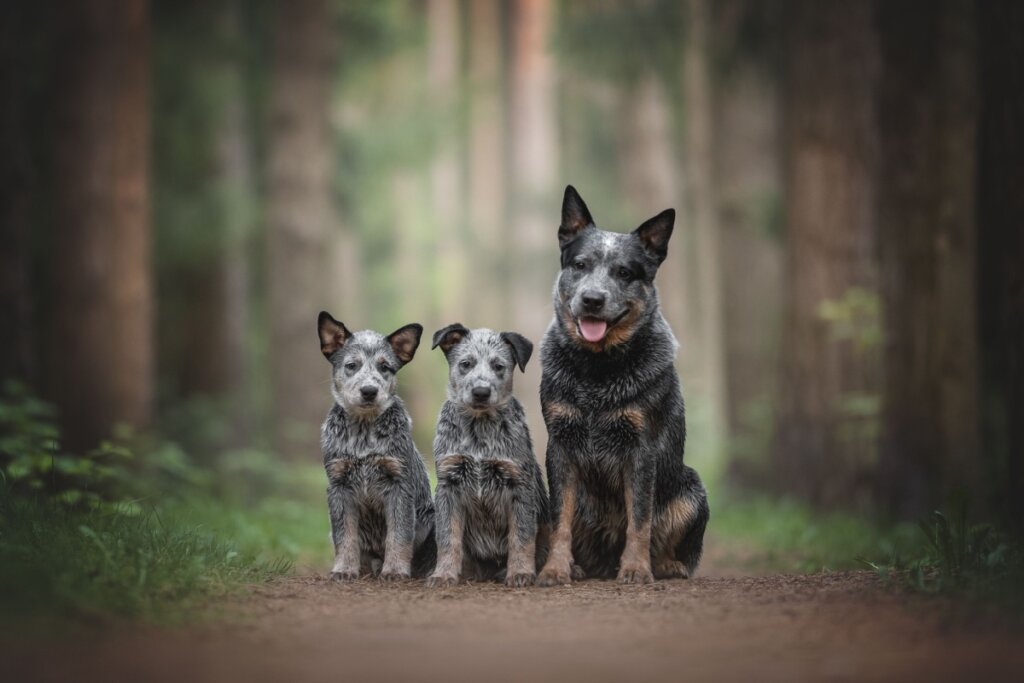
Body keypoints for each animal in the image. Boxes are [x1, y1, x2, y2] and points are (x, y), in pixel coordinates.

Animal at [315, 311, 436, 581]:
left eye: (385, 367)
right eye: (352, 365)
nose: (369, 391)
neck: (364, 433)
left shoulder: (399, 484)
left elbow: (399, 535)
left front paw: (395, 570)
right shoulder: (338, 486)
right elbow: (345, 536)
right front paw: (344, 569)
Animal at [425, 325, 548, 589]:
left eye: (498, 366)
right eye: (466, 364)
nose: (480, 392)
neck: (479, 430)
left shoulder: (519, 483)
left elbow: (521, 536)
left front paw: (520, 573)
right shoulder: (448, 484)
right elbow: (448, 537)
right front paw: (443, 574)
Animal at [536, 187, 712, 589]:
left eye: (624, 272)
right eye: (580, 265)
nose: (592, 299)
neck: (597, 371)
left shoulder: (641, 448)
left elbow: (640, 518)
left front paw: (635, 568)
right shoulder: (560, 445)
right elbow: (560, 521)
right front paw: (555, 569)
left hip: (691, 488)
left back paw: (665, 566)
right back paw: (578, 567)